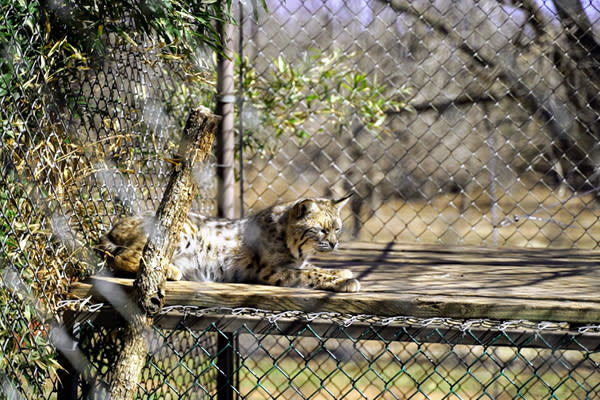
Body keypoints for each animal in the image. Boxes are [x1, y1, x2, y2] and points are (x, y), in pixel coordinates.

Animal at [99, 195, 358, 292]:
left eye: (337, 229)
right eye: (321, 230)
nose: (334, 244)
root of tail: (116, 225)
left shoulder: (294, 264)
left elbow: (314, 268)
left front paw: (343, 272)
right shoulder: (272, 272)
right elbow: (310, 275)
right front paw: (346, 281)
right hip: (184, 228)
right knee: (124, 257)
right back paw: (170, 271)